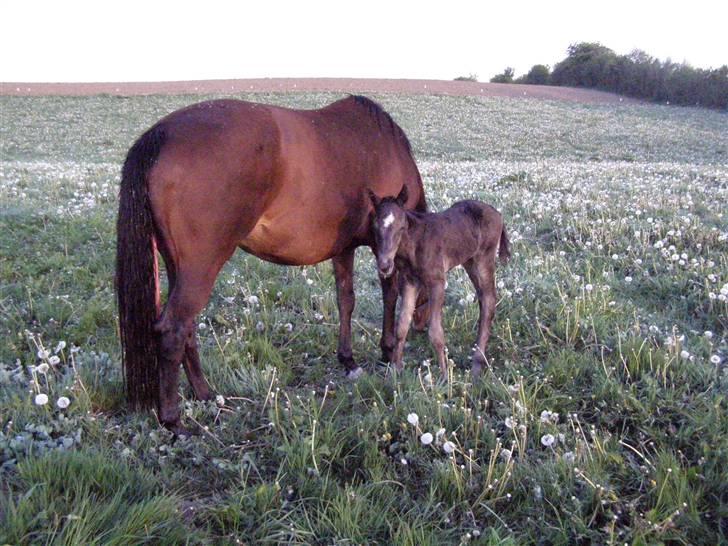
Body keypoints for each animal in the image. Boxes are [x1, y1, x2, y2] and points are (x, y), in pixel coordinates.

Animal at [116, 95, 430, 432]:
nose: (422, 328)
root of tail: (161, 133)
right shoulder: (382, 246)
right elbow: (389, 295)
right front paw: (387, 350)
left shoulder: (344, 248)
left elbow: (346, 300)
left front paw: (348, 359)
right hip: (200, 269)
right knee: (173, 329)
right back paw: (174, 420)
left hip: (179, 269)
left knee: (186, 329)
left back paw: (205, 394)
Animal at [366, 185, 510, 376]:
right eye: (375, 227)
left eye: (401, 227)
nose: (384, 265)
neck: (414, 245)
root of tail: (498, 214)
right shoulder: (409, 281)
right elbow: (402, 326)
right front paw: (395, 370)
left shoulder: (437, 281)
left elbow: (435, 332)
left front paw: (444, 375)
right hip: (469, 261)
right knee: (483, 297)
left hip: (484, 258)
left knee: (489, 299)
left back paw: (478, 362)